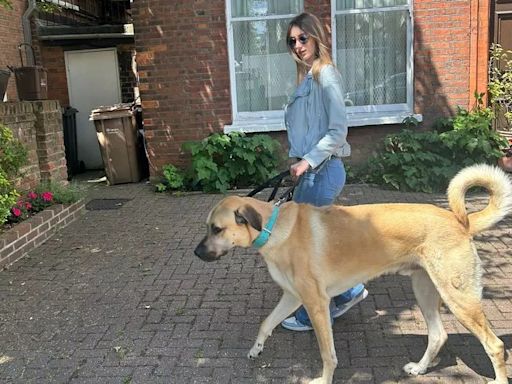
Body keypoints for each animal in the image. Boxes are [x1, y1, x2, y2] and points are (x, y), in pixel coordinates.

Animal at [194, 164, 510, 382]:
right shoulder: (293, 297)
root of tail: (461, 221)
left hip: (460, 300)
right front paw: (256, 348)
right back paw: (420, 368)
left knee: (494, 345)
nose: (196, 253)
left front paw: (324, 379)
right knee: (438, 335)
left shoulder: (316, 304)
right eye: (208, 227)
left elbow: (327, 354)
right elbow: (265, 323)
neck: (274, 228)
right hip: (425, 291)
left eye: (217, 229)